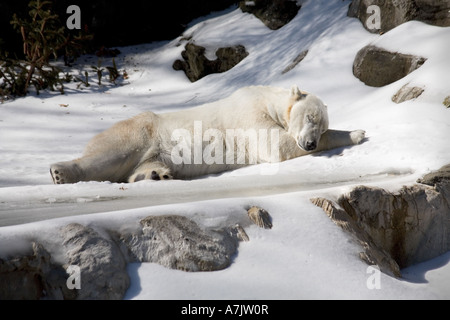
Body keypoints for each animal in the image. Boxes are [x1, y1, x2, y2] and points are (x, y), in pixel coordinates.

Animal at [50, 85, 366, 184]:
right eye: (310, 118)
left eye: (320, 126)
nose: (310, 143)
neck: (269, 100)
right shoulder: (249, 113)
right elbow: (275, 144)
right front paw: (358, 133)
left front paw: (357, 131)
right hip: (141, 131)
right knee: (111, 154)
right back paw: (60, 171)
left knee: (141, 166)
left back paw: (156, 174)